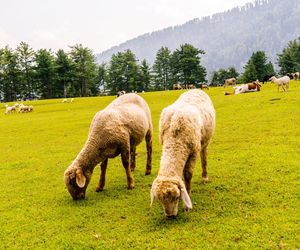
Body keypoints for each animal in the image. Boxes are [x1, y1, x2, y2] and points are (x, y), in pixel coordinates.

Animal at [150, 89, 216, 217]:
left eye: (176, 198)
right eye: (160, 200)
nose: (170, 216)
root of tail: (196, 89)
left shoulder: (193, 151)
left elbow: (188, 174)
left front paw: (187, 202)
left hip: (204, 141)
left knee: (204, 157)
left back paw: (205, 176)